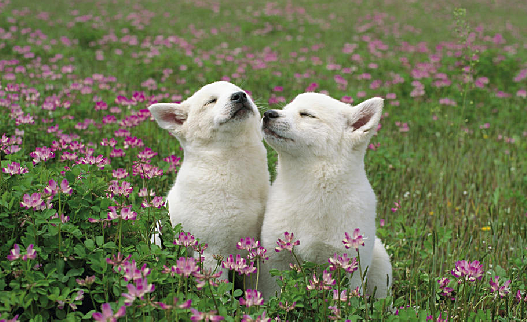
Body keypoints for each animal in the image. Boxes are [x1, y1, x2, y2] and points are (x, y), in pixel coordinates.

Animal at [151, 82, 270, 280]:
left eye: (243, 92)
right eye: (210, 101)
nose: (239, 95)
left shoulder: (254, 250)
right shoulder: (211, 253)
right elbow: (220, 288)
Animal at [260, 93, 392, 300]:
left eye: (307, 115)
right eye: (286, 108)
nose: (268, 113)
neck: (311, 187)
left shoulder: (350, 265)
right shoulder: (275, 259)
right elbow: (274, 293)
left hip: (381, 264)